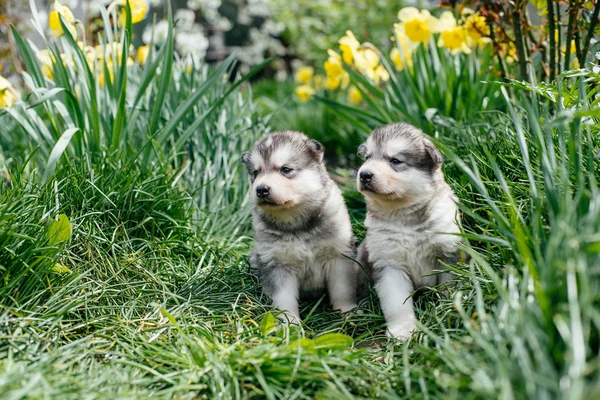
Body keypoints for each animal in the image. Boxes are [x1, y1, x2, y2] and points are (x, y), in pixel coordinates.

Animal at [241, 130, 358, 324]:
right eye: (255, 173)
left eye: (286, 169)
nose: (261, 189)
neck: (297, 225)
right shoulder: (277, 264)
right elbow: (284, 298)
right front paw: (289, 323)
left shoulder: (339, 256)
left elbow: (343, 289)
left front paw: (348, 313)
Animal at [356, 123, 464, 340]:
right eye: (367, 158)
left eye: (395, 160)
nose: (364, 174)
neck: (404, 217)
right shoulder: (389, 263)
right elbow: (396, 304)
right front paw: (402, 331)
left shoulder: (448, 253)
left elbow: (449, 287)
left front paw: (447, 310)